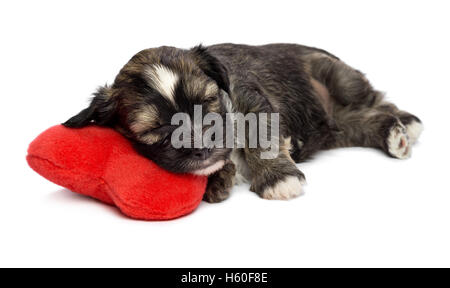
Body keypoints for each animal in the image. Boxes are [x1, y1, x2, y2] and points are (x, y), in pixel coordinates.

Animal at [63, 44, 422, 202]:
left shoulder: (250, 98)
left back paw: (406, 125)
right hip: (338, 129)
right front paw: (220, 179)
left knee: (375, 100)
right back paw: (392, 135)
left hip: (339, 77)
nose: (201, 148)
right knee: (359, 122)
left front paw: (278, 179)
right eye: (156, 130)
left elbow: (260, 139)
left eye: (207, 103)